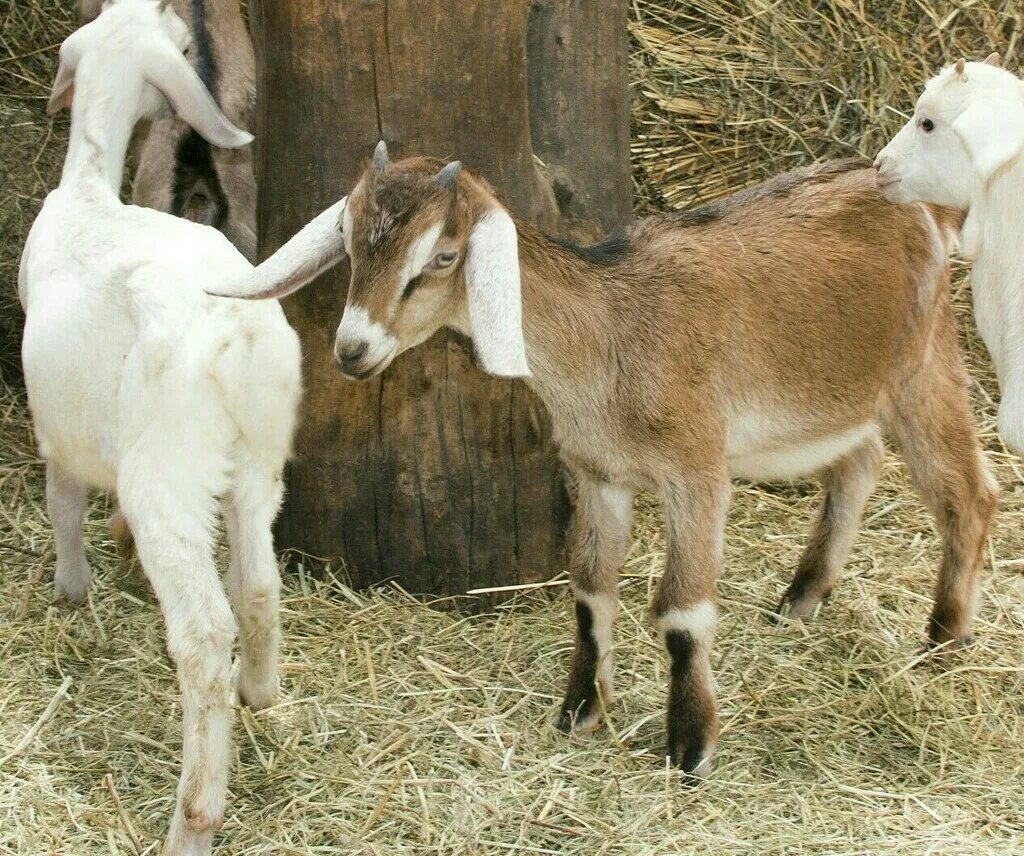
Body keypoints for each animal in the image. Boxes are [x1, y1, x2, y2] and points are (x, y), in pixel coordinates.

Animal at [19, 3, 299, 851]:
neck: (89, 190)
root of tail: (231, 337)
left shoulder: (57, 426)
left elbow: (62, 502)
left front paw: (71, 589)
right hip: (258, 459)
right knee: (260, 585)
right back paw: (261, 691)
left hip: (165, 479)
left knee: (204, 635)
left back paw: (195, 816)